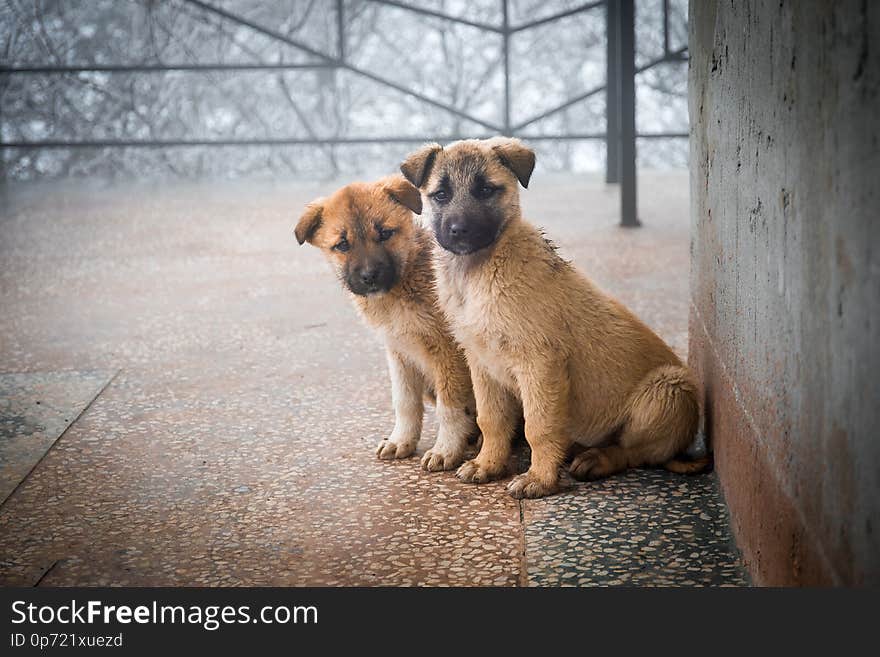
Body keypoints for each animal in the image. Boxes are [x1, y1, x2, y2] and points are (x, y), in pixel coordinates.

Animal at [294, 176, 474, 472]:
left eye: (386, 234)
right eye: (342, 245)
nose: (370, 276)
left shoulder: (448, 352)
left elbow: (450, 407)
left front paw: (446, 449)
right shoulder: (399, 352)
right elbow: (404, 401)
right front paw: (401, 440)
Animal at [402, 137, 704, 498]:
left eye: (486, 190)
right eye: (441, 195)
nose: (459, 230)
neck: (477, 272)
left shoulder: (540, 363)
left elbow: (539, 426)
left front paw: (540, 479)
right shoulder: (482, 365)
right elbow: (491, 420)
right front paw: (488, 464)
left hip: (668, 390)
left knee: (635, 451)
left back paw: (598, 460)